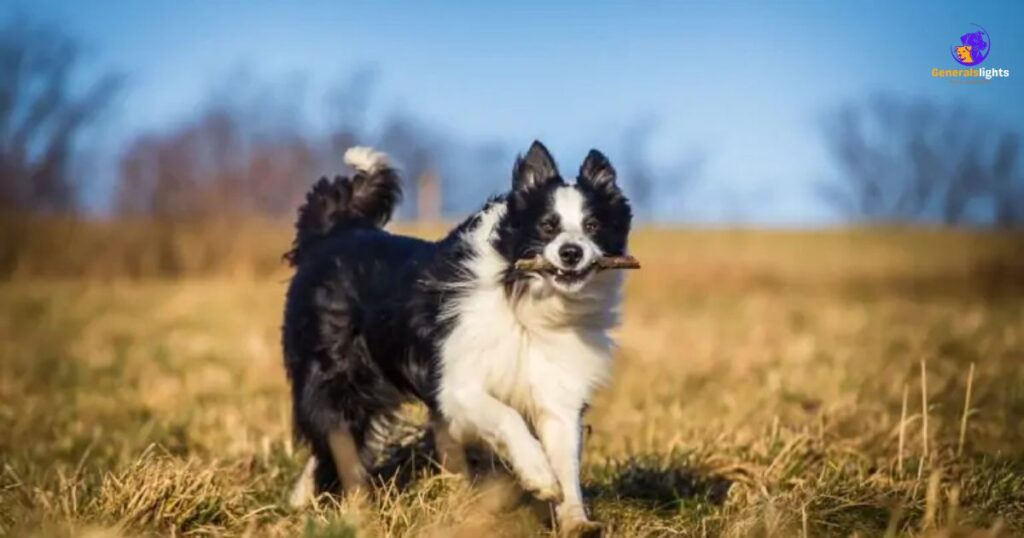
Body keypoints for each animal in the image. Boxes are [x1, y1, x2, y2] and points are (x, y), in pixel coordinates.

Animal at [282, 140, 630, 528]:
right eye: (547, 225)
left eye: (593, 225)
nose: (571, 253)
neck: (524, 298)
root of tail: (334, 233)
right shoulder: (457, 386)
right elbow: (508, 419)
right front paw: (538, 476)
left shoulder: (558, 392)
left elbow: (566, 462)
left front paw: (576, 521)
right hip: (337, 373)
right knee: (332, 433)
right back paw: (336, 505)